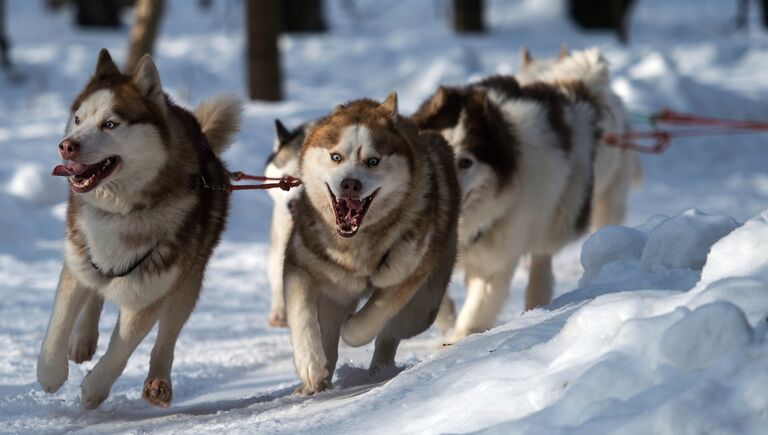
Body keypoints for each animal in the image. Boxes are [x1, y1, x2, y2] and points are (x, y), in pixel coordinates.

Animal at [37, 49, 242, 410]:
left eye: (110, 124)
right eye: (78, 119)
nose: (66, 146)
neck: (122, 212)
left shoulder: (148, 291)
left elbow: (123, 347)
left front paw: (94, 389)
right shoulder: (76, 260)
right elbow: (59, 321)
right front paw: (50, 372)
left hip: (186, 282)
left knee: (167, 335)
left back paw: (158, 382)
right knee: (94, 291)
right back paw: (83, 340)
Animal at [284, 93, 460, 396]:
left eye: (373, 161)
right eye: (336, 157)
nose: (350, 184)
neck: (355, 246)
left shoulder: (405, 275)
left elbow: (367, 322)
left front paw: (351, 328)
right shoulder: (300, 265)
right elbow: (302, 314)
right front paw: (310, 365)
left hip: (422, 306)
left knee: (390, 333)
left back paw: (380, 369)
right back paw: (317, 381)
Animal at [412, 52, 608, 344]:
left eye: (466, 162)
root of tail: (568, 95)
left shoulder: (498, 256)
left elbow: (478, 306)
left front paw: (458, 340)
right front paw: (444, 316)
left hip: (562, 209)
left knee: (542, 252)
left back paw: (536, 297)